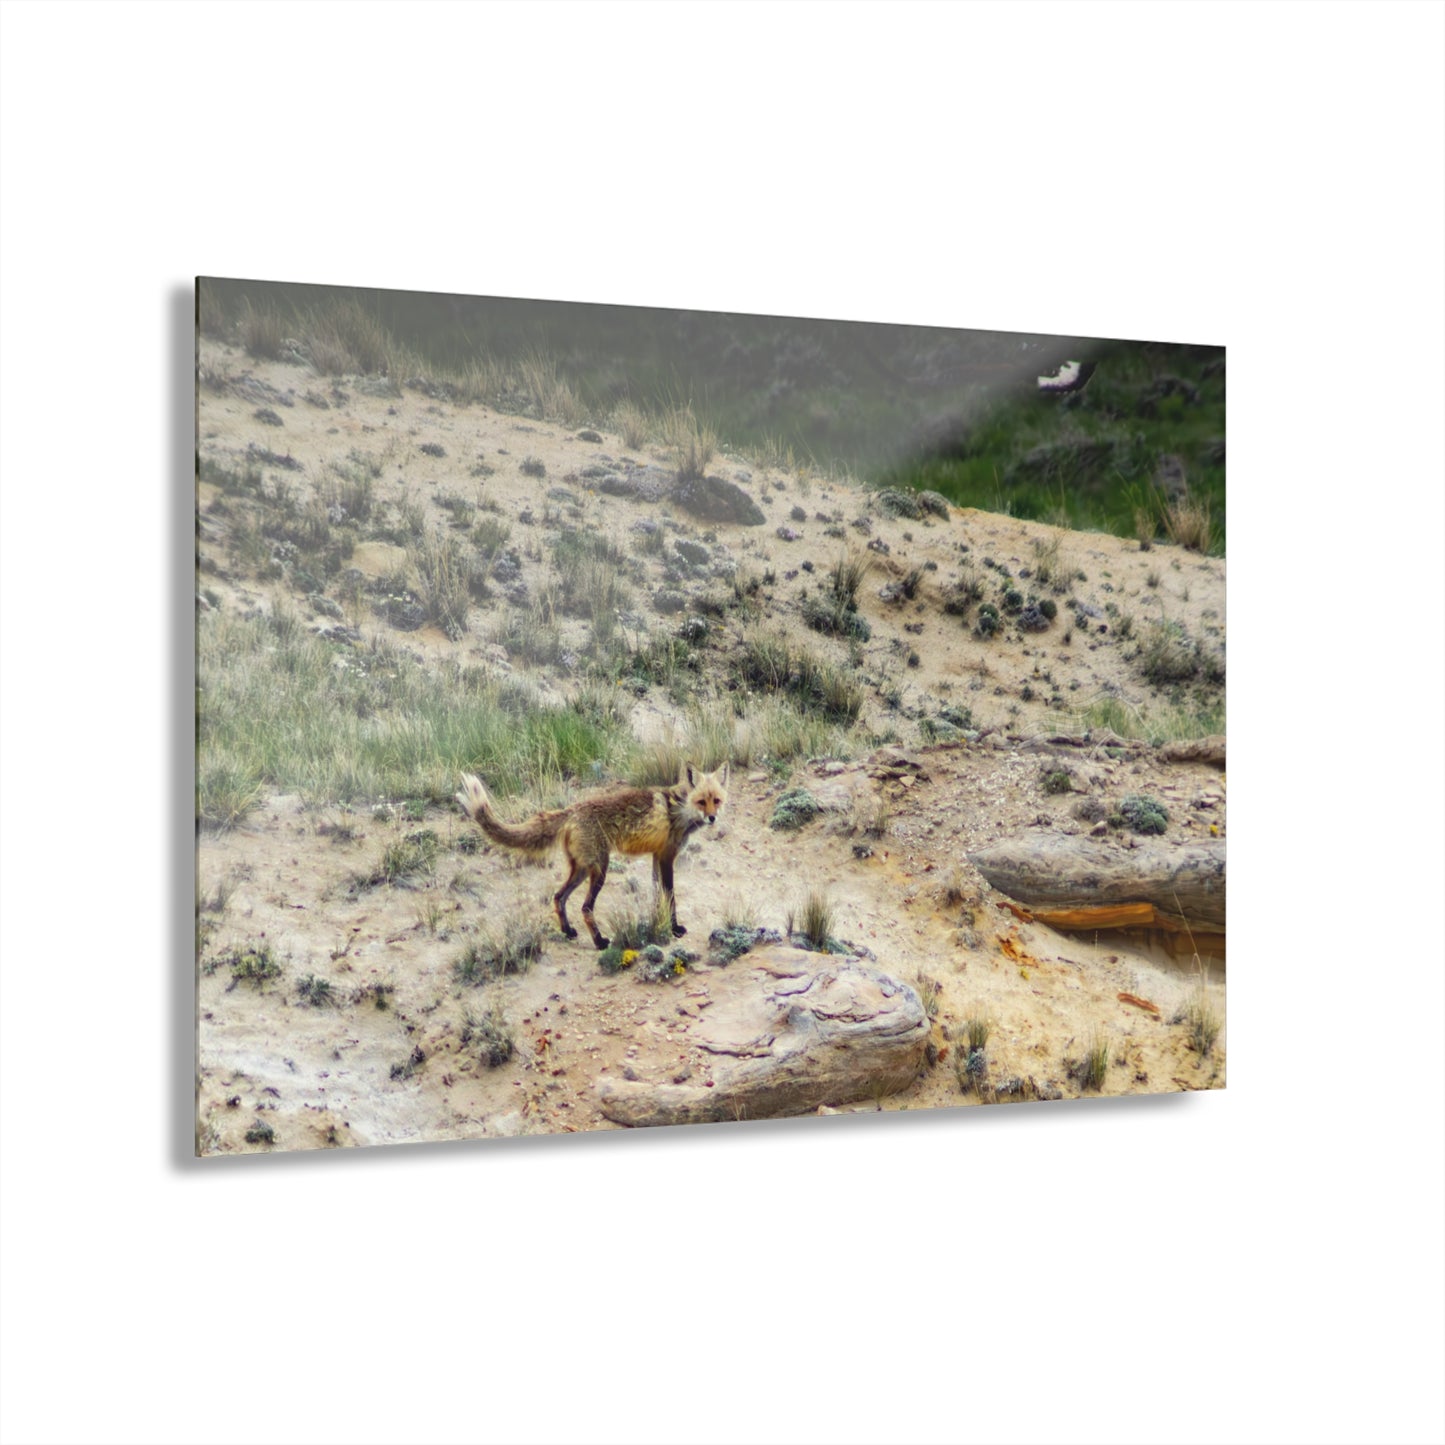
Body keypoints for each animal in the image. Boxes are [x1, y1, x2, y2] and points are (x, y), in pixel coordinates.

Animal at [455, 763, 729, 950]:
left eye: (716, 800)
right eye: (702, 801)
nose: (712, 818)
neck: (679, 809)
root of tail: (572, 809)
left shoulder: (656, 856)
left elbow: (656, 895)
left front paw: (656, 923)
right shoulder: (666, 857)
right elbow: (670, 897)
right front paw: (674, 928)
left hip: (582, 869)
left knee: (559, 897)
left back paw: (568, 932)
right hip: (600, 869)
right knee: (585, 908)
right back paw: (599, 942)